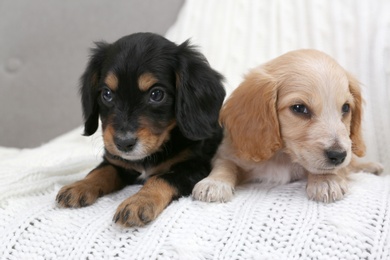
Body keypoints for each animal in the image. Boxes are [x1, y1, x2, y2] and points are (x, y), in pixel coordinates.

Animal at [55, 33, 225, 228]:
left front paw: (139, 201)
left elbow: (159, 178)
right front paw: (79, 186)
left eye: (156, 94)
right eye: (107, 94)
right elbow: (100, 171)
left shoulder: (195, 167)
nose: (123, 143)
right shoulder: (118, 163)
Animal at [193, 48, 382, 203]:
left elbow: (334, 168)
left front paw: (326, 180)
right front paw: (214, 182)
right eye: (299, 108)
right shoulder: (229, 152)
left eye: (346, 108)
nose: (338, 155)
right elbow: (225, 165)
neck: (283, 156)